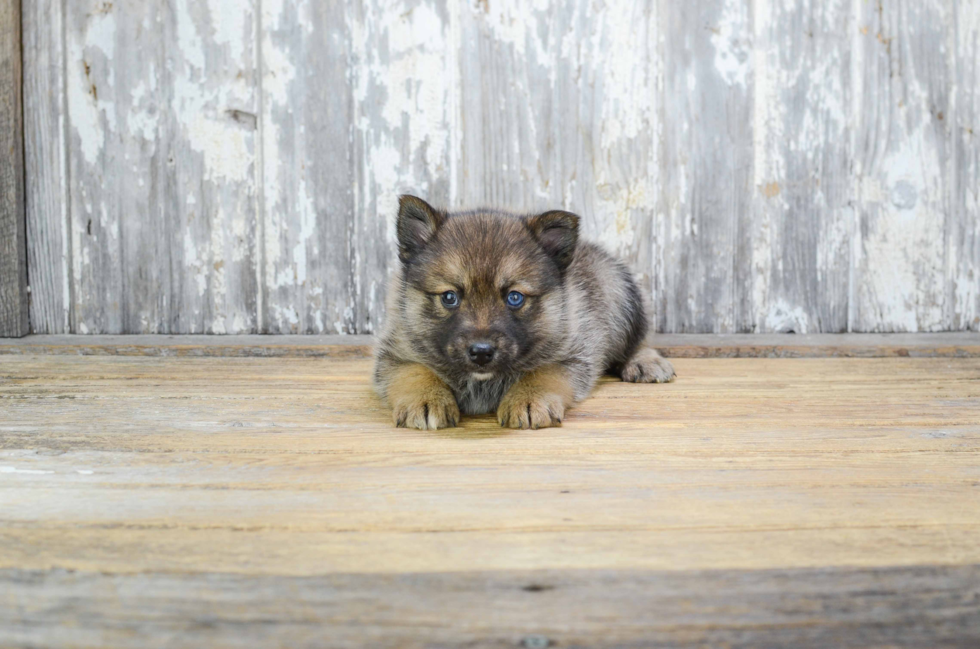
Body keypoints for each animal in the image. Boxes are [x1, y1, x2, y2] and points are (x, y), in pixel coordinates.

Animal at [372, 195, 676, 428]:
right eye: (449, 297)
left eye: (514, 298)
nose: (481, 352)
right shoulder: (396, 351)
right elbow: (415, 371)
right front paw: (426, 399)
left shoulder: (571, 354)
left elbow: (541, 374)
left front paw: (528, 399)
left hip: (622, 298)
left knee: (637, 340)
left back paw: (646, 362)